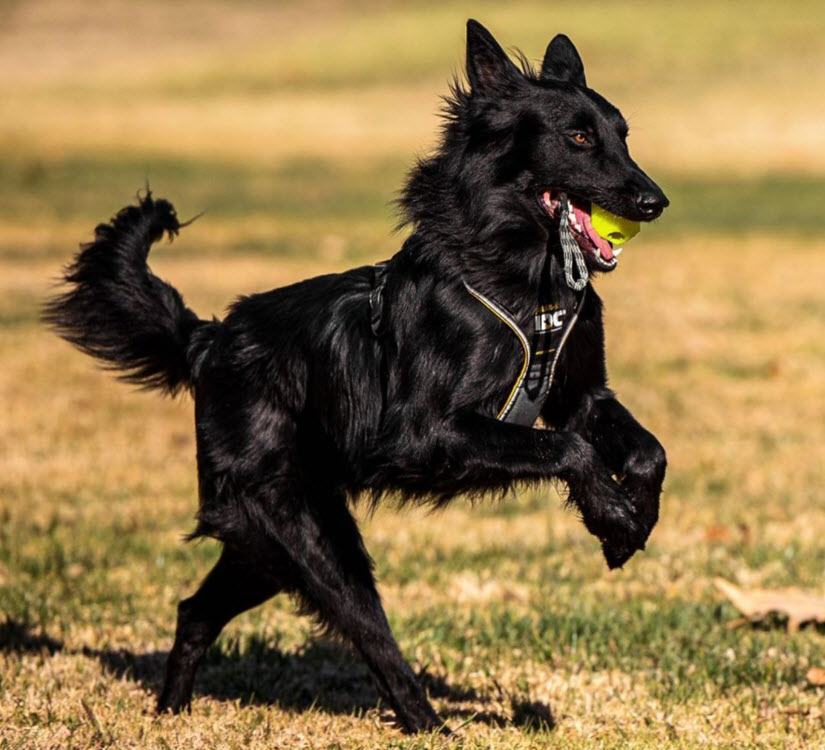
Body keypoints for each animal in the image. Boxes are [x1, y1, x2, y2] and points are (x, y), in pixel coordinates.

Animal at [43, 22, 664, 736]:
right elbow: (570, 449)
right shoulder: (424, 437)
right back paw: (431, 726)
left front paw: (634, 520)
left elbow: (646, 449)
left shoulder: (581, 395)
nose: (655, 201)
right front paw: (612, 516)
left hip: (268, 546)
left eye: (623, 134)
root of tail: (209, 339)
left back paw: (171, 713)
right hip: (311, 538)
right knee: (370, 635)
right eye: (579, 137)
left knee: (194, 610)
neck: (523, 281)